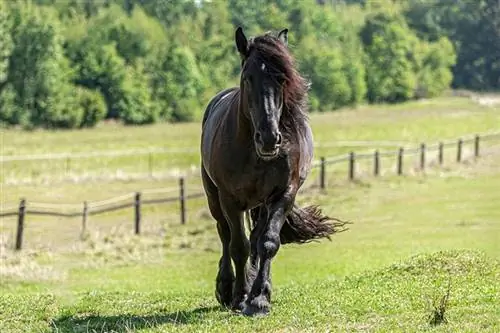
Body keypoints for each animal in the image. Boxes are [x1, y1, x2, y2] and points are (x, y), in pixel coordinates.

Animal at [201, 27, 346, 316]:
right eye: (248, 78)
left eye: (282, 78)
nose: (269, 139)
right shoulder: (230, 199)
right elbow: (238, 245)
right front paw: (240, 296)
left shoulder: (283, 195)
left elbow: (268, 242)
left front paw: (258, 298)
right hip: (214, 197)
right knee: (225, 233)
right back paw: (226, 287)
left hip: (262, 204)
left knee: (257, 238)